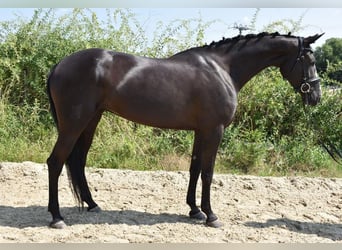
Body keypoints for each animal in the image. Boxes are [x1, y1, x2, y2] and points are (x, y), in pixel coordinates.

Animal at [45, 31, 324, 229]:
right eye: (309, 59)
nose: (316, 97)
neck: (222, 69)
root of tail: (59, 65)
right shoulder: (214, 130)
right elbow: (208, 172)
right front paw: (211, 215)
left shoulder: (201, 131)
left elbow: (195, 168)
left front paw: (195, 210)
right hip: (74, 124)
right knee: (56, 162)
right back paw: (57, 217)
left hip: (91, 120)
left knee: (78, 161)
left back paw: (92, 204)